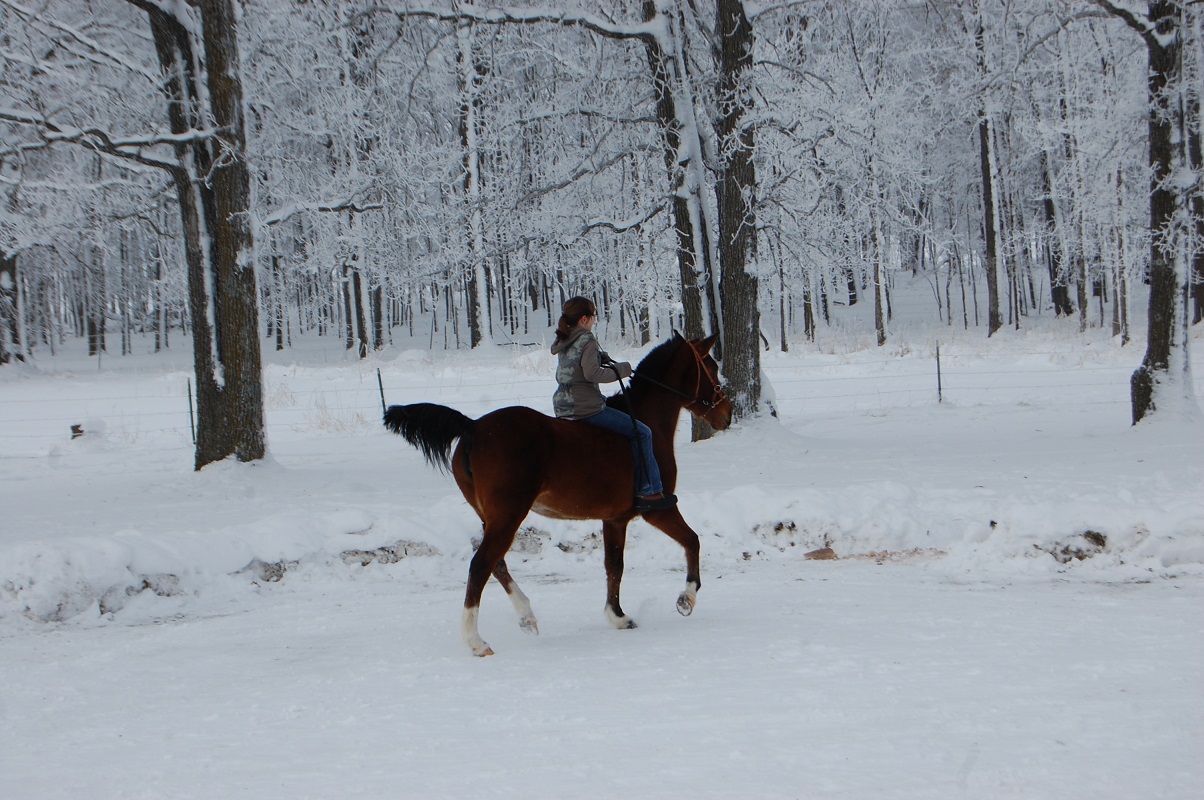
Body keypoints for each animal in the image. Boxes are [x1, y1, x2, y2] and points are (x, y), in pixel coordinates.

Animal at [382, 330, 732, 655]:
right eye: (712, 367)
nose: (726, 414)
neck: (646, 421)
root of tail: (473, 426)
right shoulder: (657, 508)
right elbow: (692, 541)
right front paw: (686, 599)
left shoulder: (615, 519)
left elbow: (614, 566)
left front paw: (618, 616)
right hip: (509, 515)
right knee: (481, 565)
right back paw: (476, 641)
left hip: (490, 516)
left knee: (496, 564)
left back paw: (527, 617)